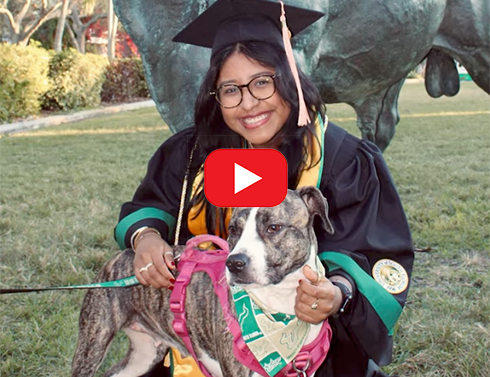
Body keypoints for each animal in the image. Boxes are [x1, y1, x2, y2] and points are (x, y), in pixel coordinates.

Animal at [72, 186, 334, 376]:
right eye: (233, 229)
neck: (280, 304)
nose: (234, 263)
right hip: (93, 341)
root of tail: (120, 255)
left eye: (273, 227)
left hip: (144, 353)